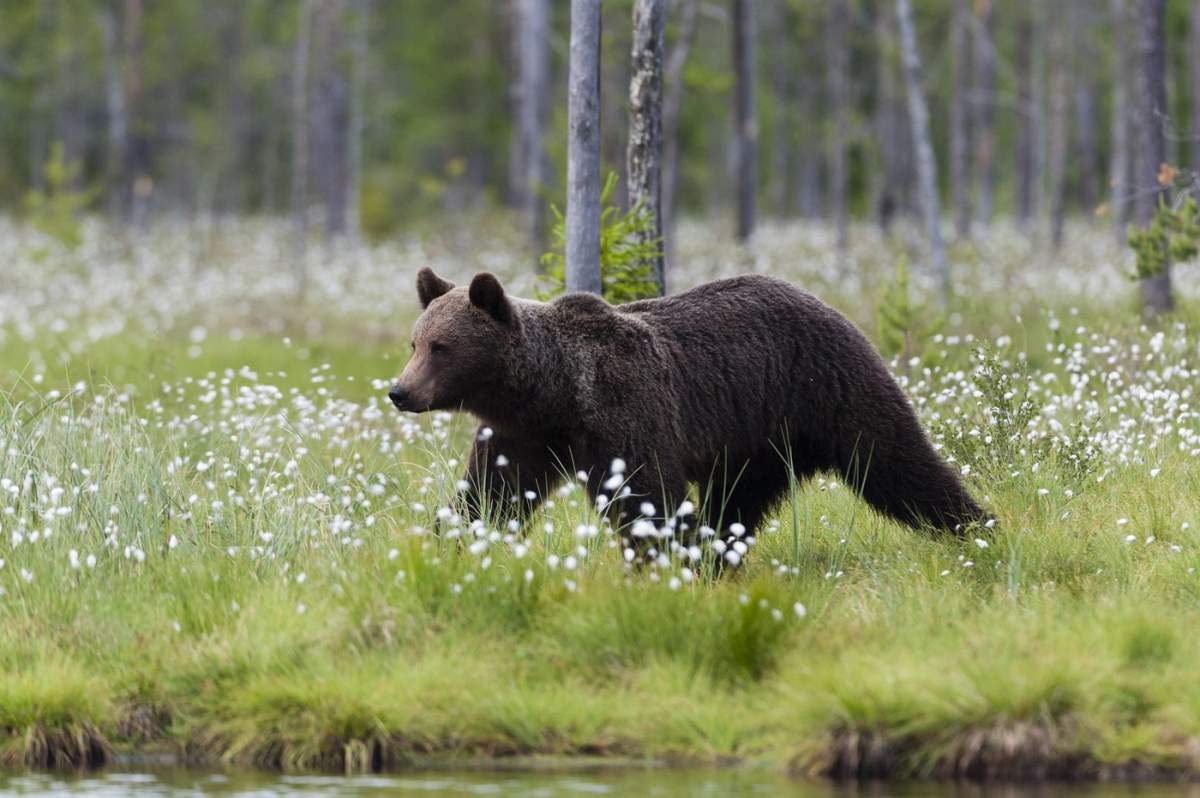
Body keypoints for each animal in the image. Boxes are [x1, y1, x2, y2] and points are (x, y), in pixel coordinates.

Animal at [391, 267, 984, 554]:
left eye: (441, 347)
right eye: (414, 342)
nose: (400, 391)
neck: (554, 394)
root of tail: (827, 304)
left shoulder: (622, 412)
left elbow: (646, 497)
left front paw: (669, 559)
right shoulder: (521, 436)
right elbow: (491, 494)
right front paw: (452, 544)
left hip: (827, 388)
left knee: (895, 460)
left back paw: (975, 527)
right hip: (757, 440)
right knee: (738, 501)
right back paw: (721, 552)